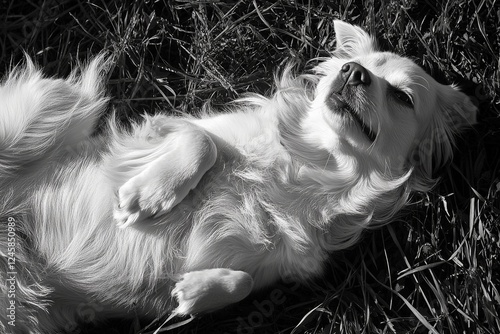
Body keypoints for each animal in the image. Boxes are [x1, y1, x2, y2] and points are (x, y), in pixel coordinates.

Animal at [0, 21, 476, 334]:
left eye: (402, 97)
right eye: (355, 65)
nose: (351, 72)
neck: (315, 163)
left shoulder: (278, 267)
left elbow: (244, 283)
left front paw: (194, 292)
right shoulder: (161, 130)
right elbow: (202, 141)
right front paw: (147, 197)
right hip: (45, 112)